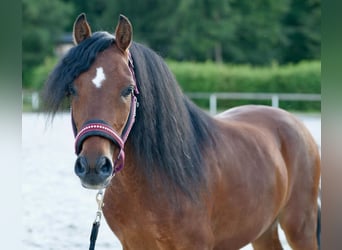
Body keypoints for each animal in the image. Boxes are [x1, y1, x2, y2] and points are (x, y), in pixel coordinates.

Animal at [42, 13, 320, 250]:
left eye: (128, 89)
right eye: (72, 90)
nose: (93, 166)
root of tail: (295, 124)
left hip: (300, 228)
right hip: (264, 229)